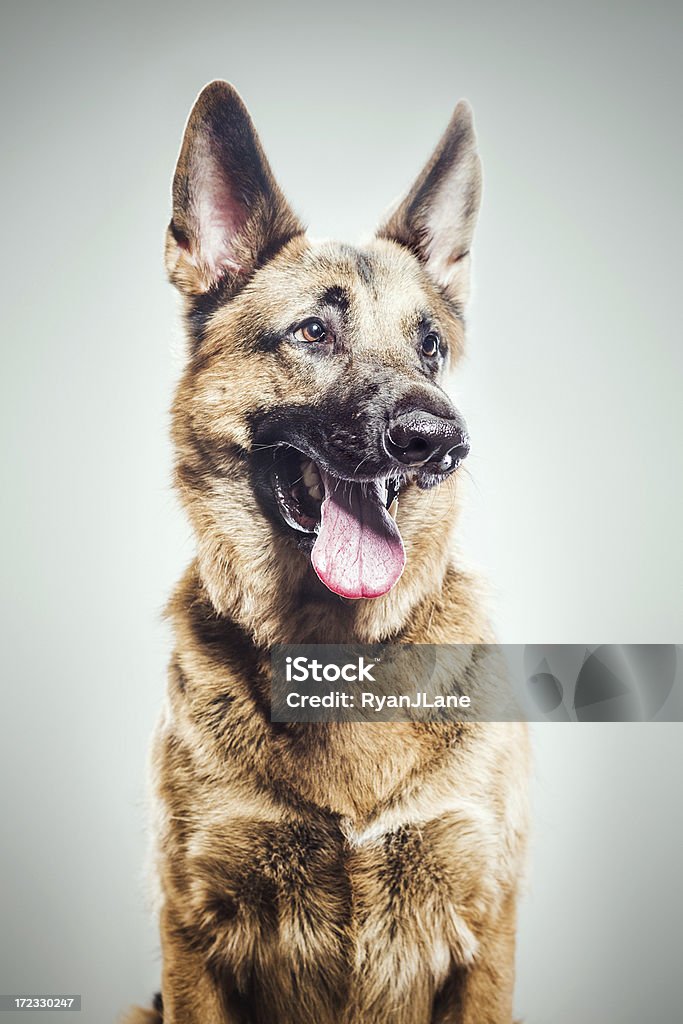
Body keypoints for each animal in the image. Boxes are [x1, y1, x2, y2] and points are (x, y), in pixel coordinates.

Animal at [125, 81, 532, 1024]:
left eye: (431, 345)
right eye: (313, 332)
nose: (439, 439)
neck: (335, 651)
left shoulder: (484, 932)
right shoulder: (189, 937)